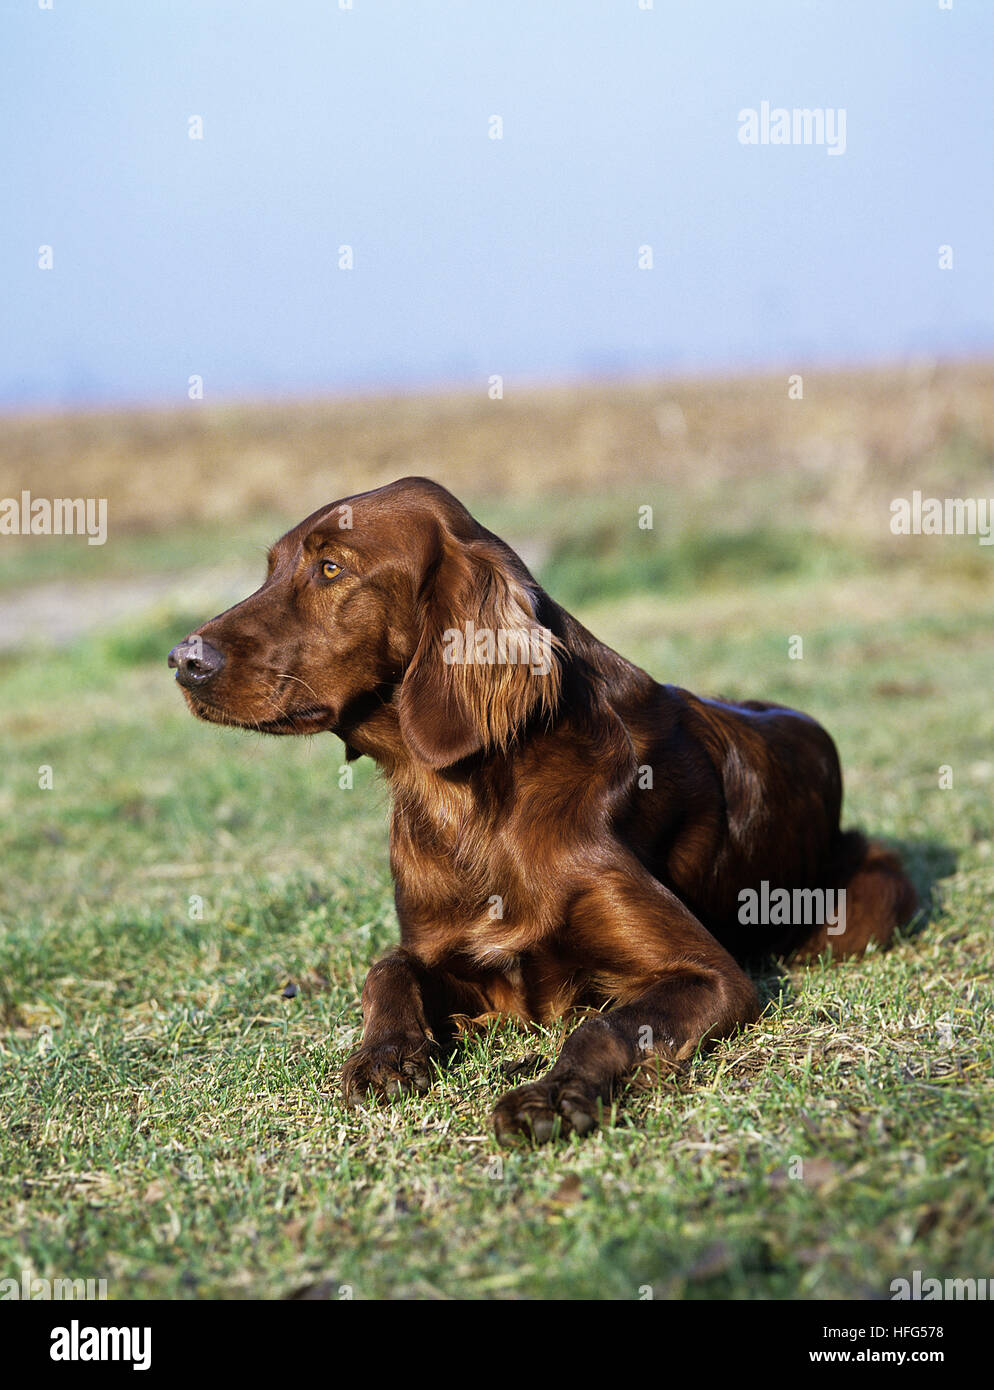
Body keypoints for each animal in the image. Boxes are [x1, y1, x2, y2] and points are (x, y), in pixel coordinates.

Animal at [168, 475, 917, 1139]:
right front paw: (386, 1055)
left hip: (865, 906)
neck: (471, 802)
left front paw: (551, 1095)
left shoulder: (711, 976)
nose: (182, 660)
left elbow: (602, 1023)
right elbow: (388, 969)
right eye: (271, 569)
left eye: (330, 568)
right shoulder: (450, 951)